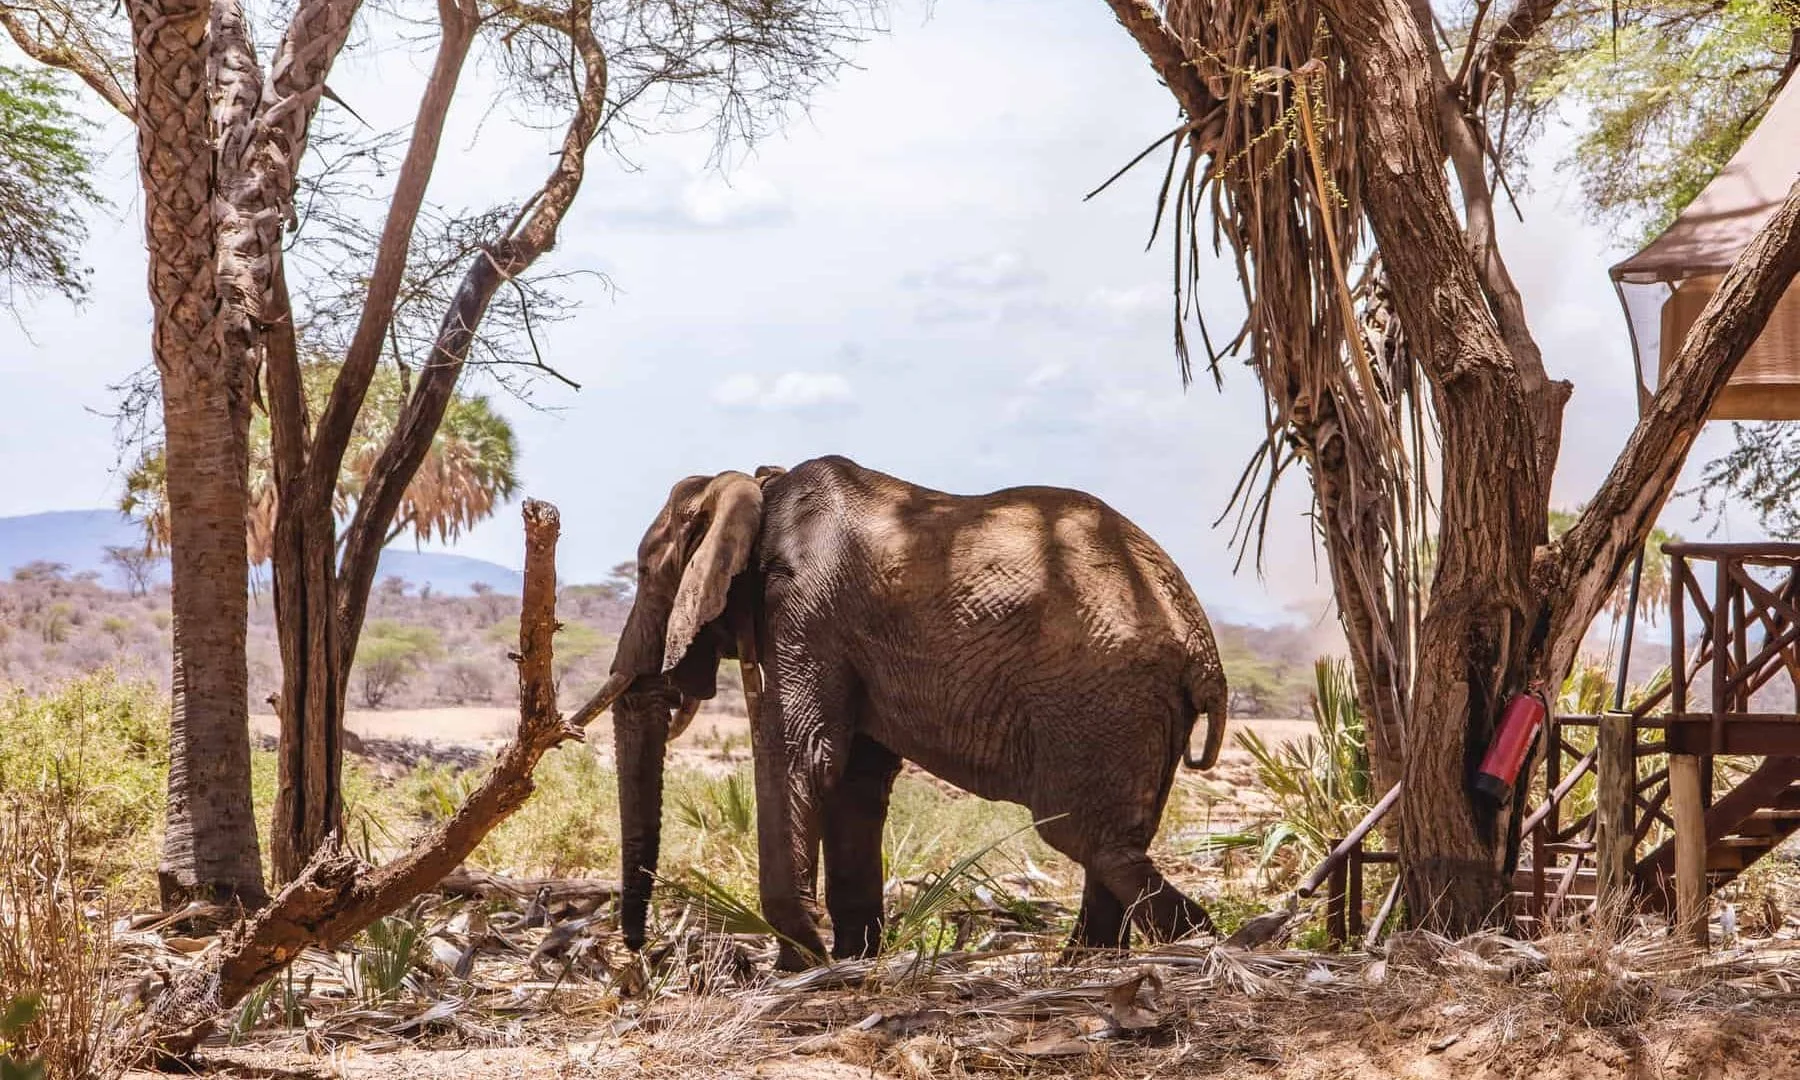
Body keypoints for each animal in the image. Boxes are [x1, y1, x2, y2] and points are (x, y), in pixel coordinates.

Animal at [575, 455, 1229, 970]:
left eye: (645, 572)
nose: (636, 948)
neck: (760, 487)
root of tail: (1203, 650)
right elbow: (854, 781)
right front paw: (850, 960)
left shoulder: (804, 611)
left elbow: (800, 756)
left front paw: (801, 965)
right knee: (1113, 840)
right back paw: (1092, 962)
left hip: (1099, 701)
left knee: (1083, 834)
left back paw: (1198, 945)